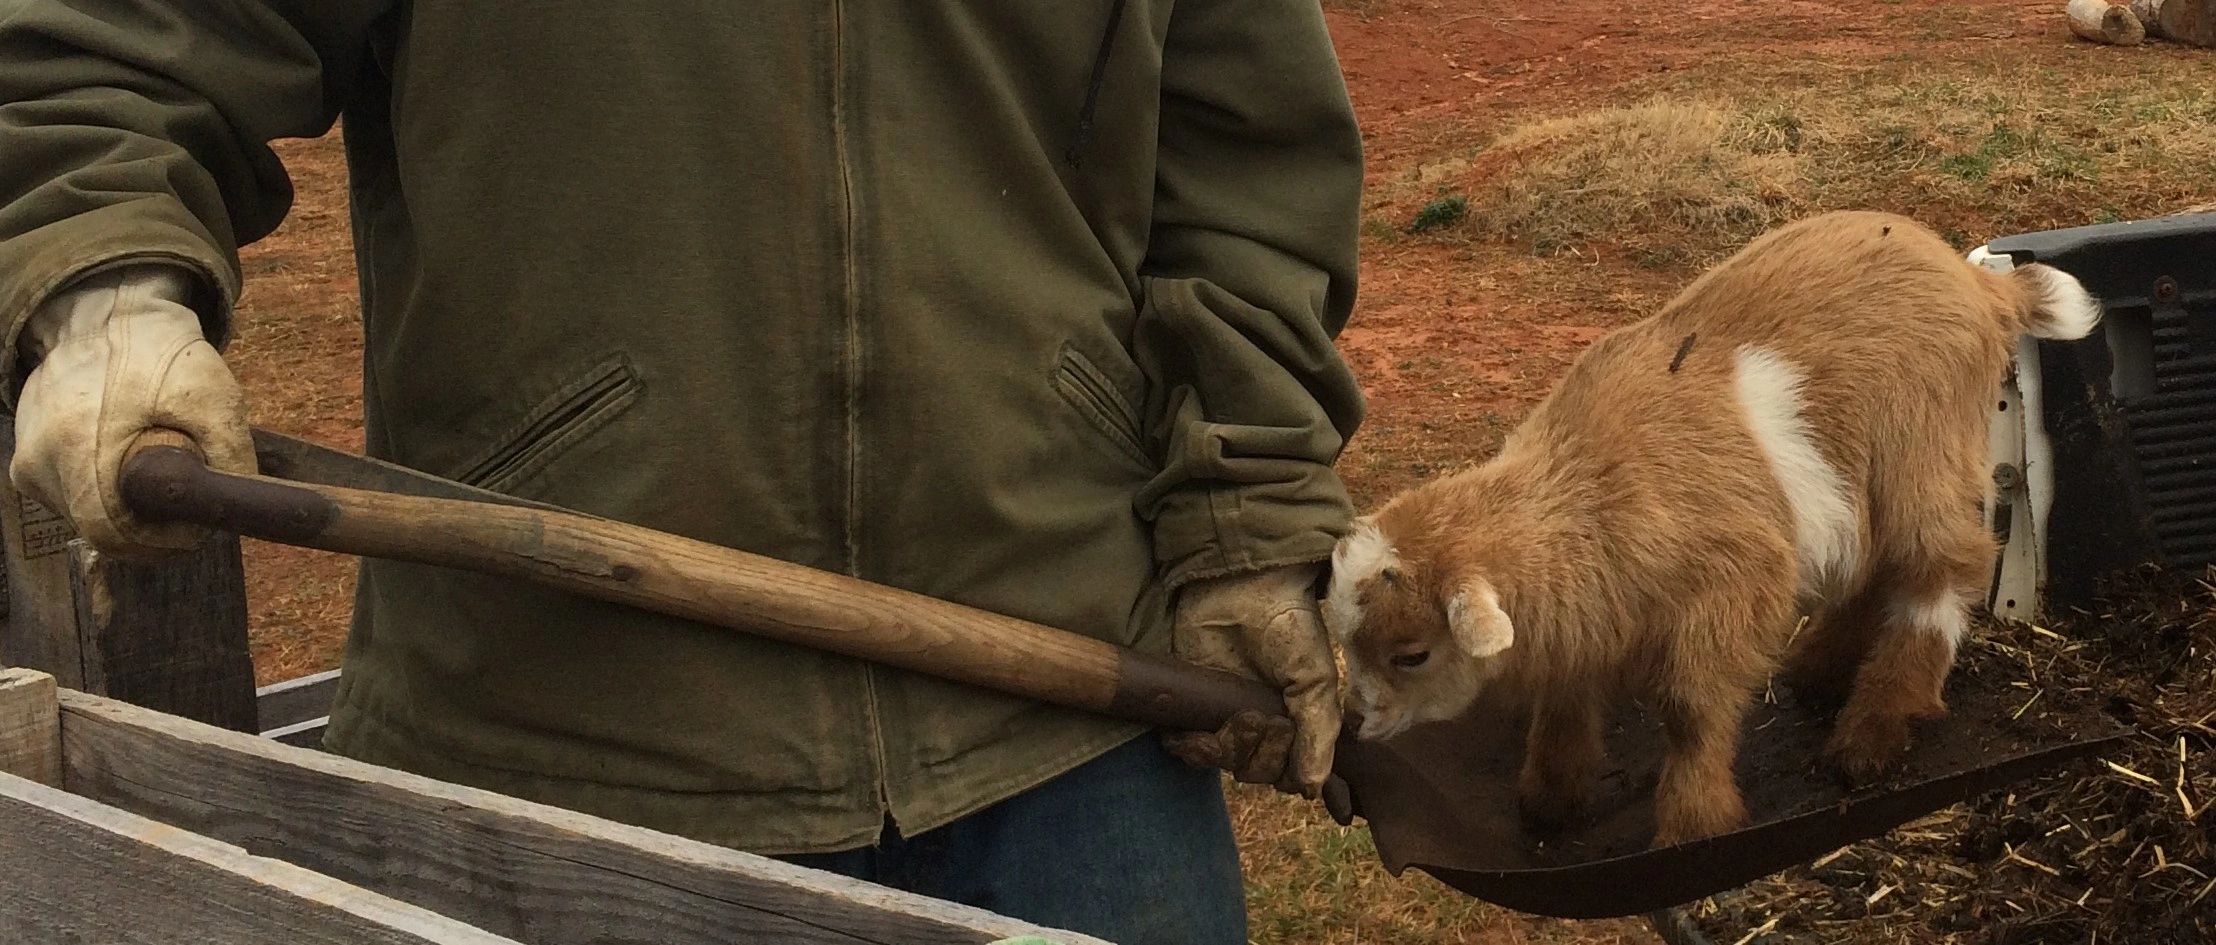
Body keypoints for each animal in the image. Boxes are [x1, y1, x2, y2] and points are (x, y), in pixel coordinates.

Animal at [1320, 210, 2100, 847]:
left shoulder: (1732, 585)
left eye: (1412, 653)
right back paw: (1820, 672)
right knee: (1876, 566)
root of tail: (1978, 285)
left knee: (1940, 569)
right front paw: (1550, 797)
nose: (1352, 724)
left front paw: (1696, 823)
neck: (1591, 489)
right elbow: (1567, 694)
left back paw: (1876, 728)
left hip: (1924, 449)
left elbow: (1692, 712)